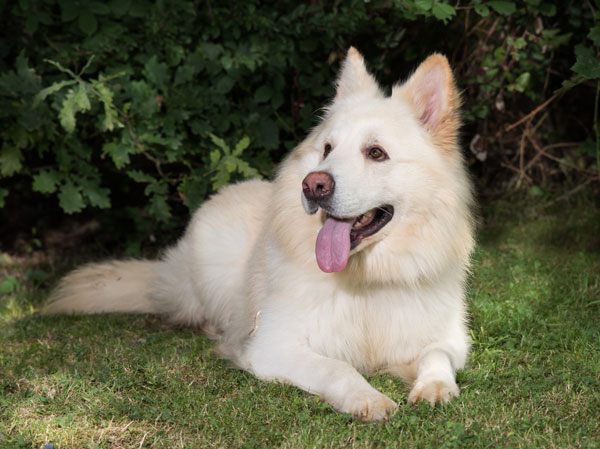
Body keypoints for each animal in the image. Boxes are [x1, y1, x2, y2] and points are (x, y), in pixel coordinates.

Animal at [45, 48, 474, 420]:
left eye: (376, 153)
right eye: (327, 150)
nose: (313, 185)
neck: (366, 280)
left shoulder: (449, 339)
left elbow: (436, 356)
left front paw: (435, 389)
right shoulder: (273, 347)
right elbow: (338, 368)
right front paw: (368, 398)